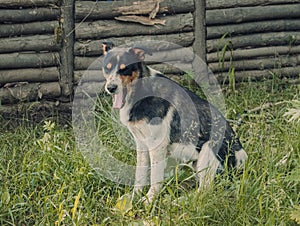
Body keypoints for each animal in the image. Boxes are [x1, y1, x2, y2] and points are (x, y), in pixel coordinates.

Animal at [102, 42, 247, 203]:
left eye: (125, 68)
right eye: (107, 67)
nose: (110, 88)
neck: (140, 91)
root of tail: (243, 162)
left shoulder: (157, 145)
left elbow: (155, 177)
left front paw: (149, 200)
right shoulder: (141, 143)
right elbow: (140, 175)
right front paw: (134, 196)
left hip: (208, 150)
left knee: (205, 190)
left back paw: (178, 201)